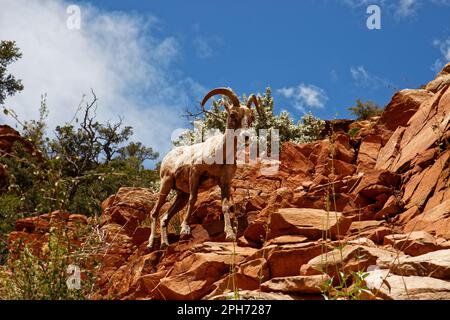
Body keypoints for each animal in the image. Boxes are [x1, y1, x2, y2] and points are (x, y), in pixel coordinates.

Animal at [148, 87, 260, 250]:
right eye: (233, 114)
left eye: (251, 118)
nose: (246, 137)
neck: (220, 154)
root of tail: (167, 157)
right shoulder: (195, 174)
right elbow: (193, 200)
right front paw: (185, 229)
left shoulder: (224, 182)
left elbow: (225, 206)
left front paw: (230, 235)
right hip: (166, 183)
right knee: (155, 212)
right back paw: (150, 244)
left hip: (180, 196)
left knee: (164, 217)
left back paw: (164, 244)